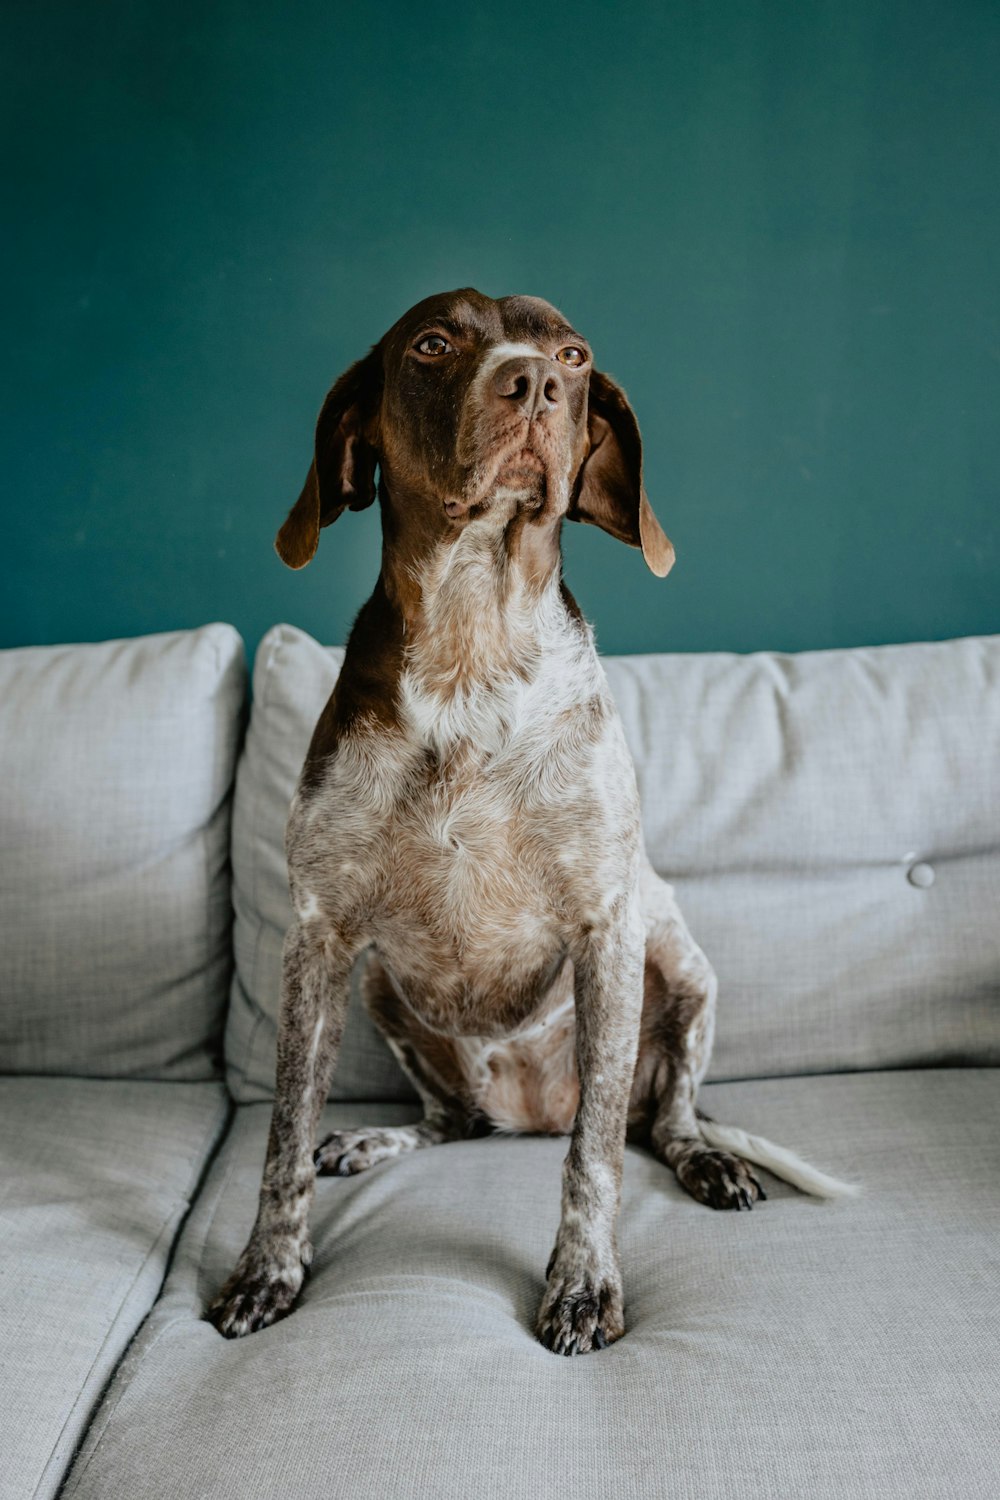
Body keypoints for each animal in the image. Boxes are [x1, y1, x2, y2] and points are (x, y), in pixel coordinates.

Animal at [206, 286, 857, 1356]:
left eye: (574, 353)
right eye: (432, 344)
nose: (536, 384)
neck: (473, 644)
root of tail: (530, 1112)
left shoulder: (606, 928)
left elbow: (594, 1160)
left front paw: (585, 1284)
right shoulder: (320, 937)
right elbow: (282, 1137)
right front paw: (271, 1268)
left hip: (682, 966)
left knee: (656, 1121)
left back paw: (707, 1160)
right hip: (383, 988)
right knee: (456, 1123)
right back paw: (376, 1137)